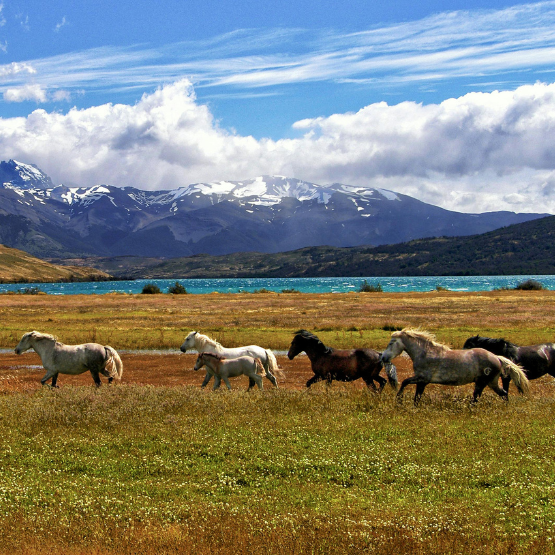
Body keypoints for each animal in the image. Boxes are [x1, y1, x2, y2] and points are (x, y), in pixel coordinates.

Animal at [382, 328, 528, 406]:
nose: (383, 357)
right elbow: (417, 396)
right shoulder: (422, 381)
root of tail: (497, 357)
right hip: (491, 382)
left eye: (391, 343)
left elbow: (405, 383)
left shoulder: (422, 379)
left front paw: (399, 399)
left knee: (477, 397)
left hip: (482, 382)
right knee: (503, 393)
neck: (425, 353)